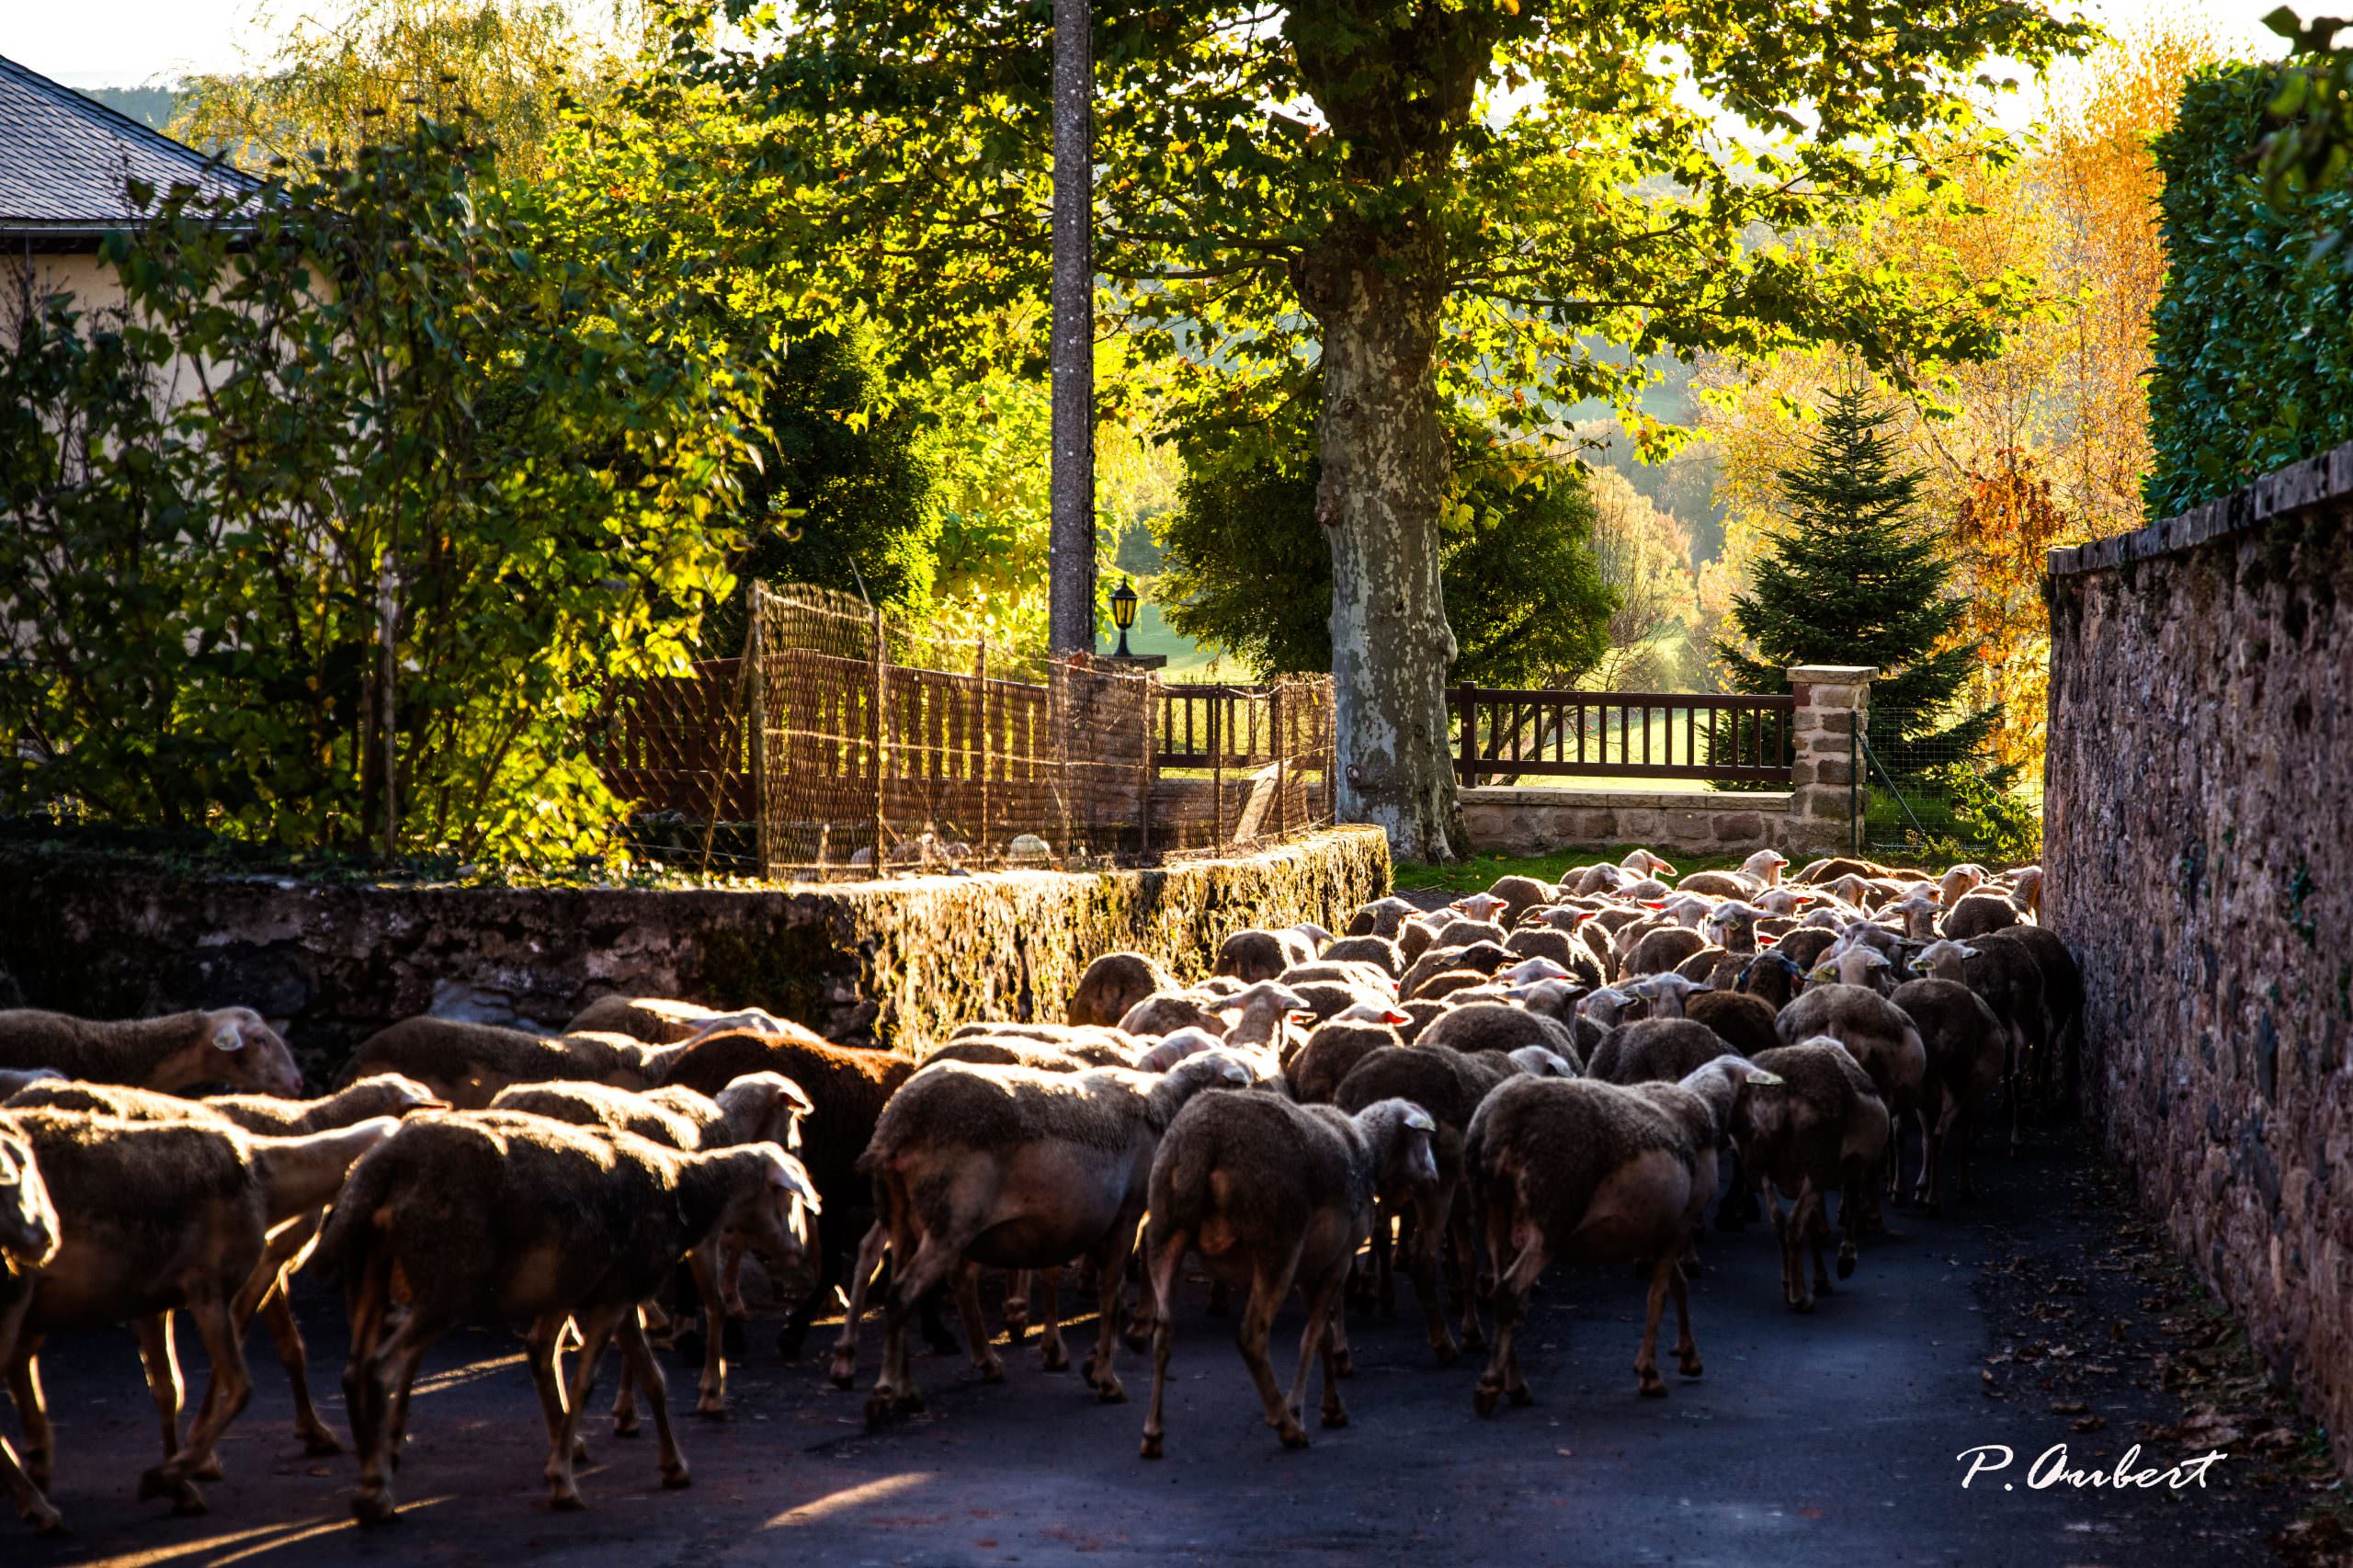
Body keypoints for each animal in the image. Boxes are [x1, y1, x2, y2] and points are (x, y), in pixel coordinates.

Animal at [847, 1045, 1251, 1412]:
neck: (1164, 1110)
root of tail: (896, 1123)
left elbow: (1112, 1289)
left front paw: (1095, 1361)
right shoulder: (1126, 1215)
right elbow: (1111, 1292)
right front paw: (1107, 1378)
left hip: (901, 1220)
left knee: (908, 1286)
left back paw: (914, 1385)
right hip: (948, 1221)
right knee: (902, 1293)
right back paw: (889, 1390)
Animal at [1133, 1087, 1430, 1449]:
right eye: (1424, 1139)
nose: (1434, 1177)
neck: (1368, 1149)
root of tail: (1202, 1141)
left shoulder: (1308, 1267)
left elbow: (1324, 1334)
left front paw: (1332, 1407)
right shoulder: (1340, 1259)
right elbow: (1312, 1335)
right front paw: (1300, 1408)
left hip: (1165, 1228)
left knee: (1163, 1332)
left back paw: (1152, 1433)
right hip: (1277, 1241)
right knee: (1252, 1335)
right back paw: (1286, 1424)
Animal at [1459, 1050, 1769, 1403]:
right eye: (1754, 1095)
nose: (1758, 1133)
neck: (1705, 1107)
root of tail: (1501, 1123)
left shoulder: (1658, 1229)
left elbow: (1679, 1286)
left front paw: (1688, 1356)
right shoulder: (1681, 1223)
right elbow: (1657, 1296)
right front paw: (1649, 1374)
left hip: (1494, 1215)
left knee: (1501, 1290)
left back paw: (1514, 1383)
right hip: (1552, 1214)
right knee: (1510, 1291)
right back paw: (1492, 1386)